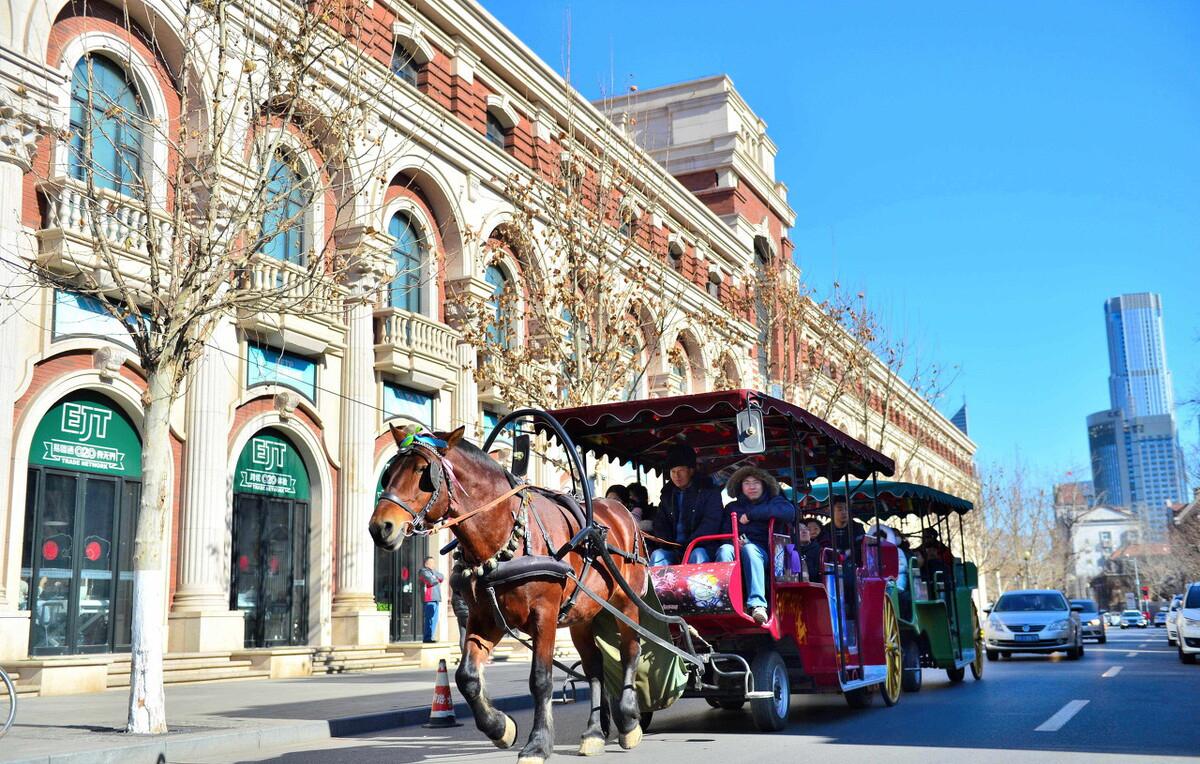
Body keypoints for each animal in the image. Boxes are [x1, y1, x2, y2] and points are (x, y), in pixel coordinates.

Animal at [367, 422, 652, 762]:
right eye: (389, 473)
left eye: (424, 472)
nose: (380, 527)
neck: (504, 532)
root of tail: (621, 512)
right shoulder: (485, 617)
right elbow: (466, 677)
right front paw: (500, 728)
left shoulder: (544, 616)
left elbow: (540, 679)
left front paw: (538, 743)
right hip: (583, 615)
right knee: (594, 666)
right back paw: (595, 732)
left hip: (625, 603)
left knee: (630, 651)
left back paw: (628, 722)